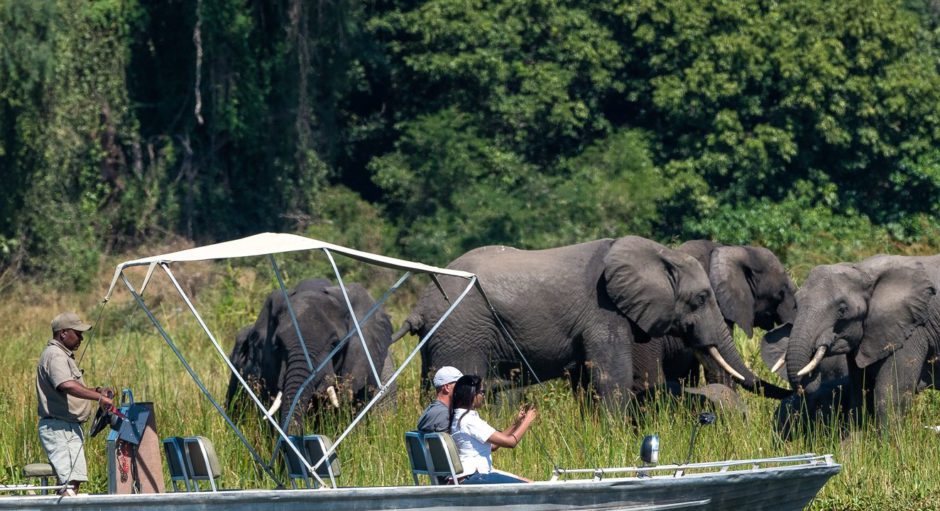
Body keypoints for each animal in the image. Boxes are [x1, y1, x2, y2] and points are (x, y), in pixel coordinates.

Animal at [784, 254, 940, 426]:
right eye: (796, 305)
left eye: (842, 310)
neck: (862, 270)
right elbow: (860, 391)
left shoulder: (914, 329)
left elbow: (891, 393)